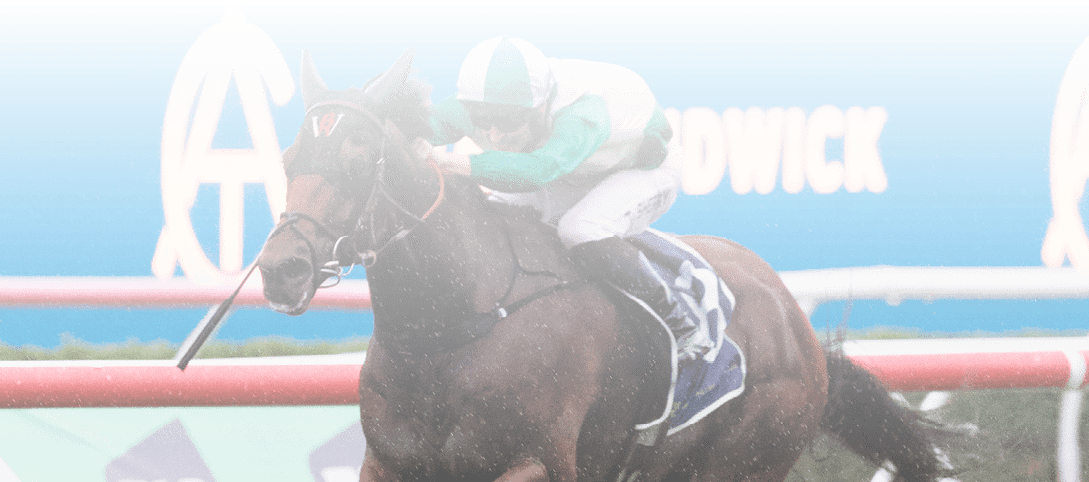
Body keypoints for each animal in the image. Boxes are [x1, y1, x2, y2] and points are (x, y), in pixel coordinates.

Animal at [257, 48, 953, 482]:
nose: (282, 268)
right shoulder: (389, 465)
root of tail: (796, 323)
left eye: (356, 155)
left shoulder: (540, 462)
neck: (455, 325)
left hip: (746, 457)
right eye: (289, 158)